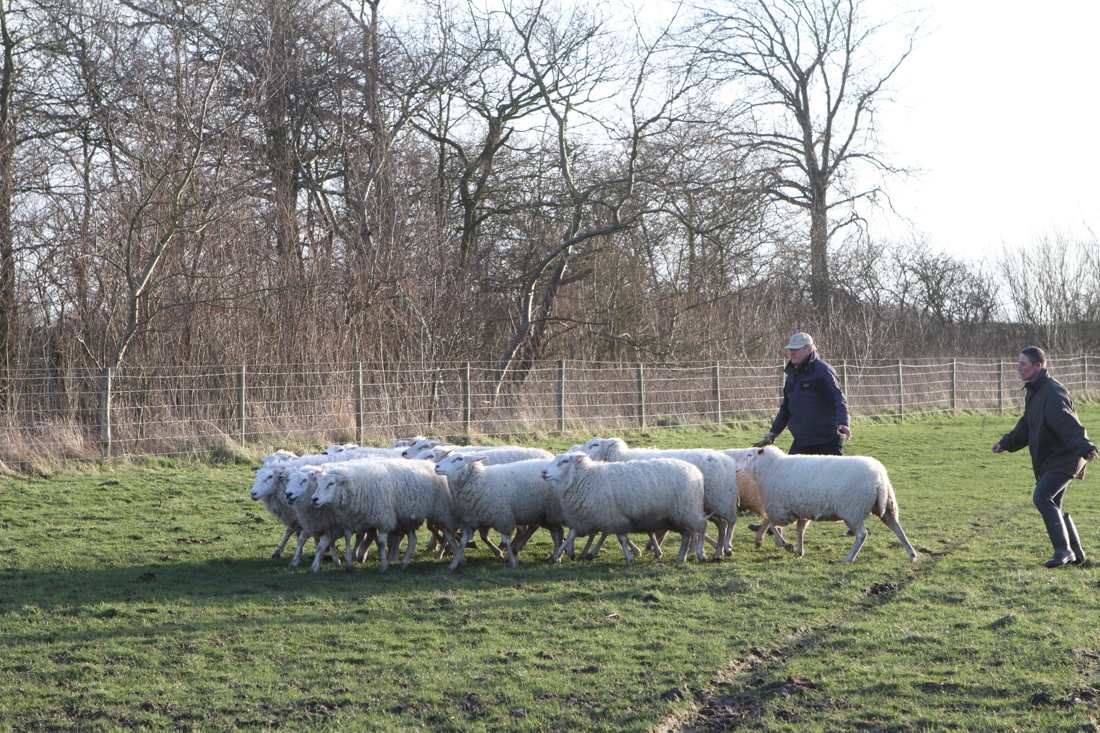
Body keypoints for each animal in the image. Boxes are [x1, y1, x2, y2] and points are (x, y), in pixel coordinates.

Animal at [310, 457, 455, 572]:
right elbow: (347, 538)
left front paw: (383, 566)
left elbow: (380, 543)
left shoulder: (384, 519)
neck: (358, 486)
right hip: (405, 517)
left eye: (331, 483)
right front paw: (349, 564)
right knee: (413, 540)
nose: (314, 499)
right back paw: (404, 563)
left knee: (447, 533)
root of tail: (430, 464)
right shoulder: (350, 519)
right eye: (318, 484)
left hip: (440, 511)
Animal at [431, 453, 563, 567]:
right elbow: (464, 543)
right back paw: (556, 556)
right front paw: (454, 563)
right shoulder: (471, 520)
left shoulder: (504, 518)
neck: (481, 482)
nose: (436, 466)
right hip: (545, 515)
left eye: (458, 459)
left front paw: (512, 561)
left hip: (551, 511)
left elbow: (506, 541)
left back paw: (556, 556)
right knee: (558, 532)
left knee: (556, 532)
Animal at [539, 451, 708, 563]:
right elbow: (572, 534)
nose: (543, 472)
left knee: (701, 527)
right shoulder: (587, 517)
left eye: (565, 461)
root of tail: (697, 472)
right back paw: (681, 557)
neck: (588, 478)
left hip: (687, 509)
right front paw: (557, 555)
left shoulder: (615, 517)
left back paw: (700, 554)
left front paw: (629, 558)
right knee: (686, 534)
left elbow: (621, 539)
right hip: (681, 513)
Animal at [576, 440, 739, 554]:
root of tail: (729, 461)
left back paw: (726, 546)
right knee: (721, 524)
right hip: (708, 503)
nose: (577, 451)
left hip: (720, 498)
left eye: (595, 444)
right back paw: (716, 550)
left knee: (731, 521)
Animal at [730, 444, 919, 559]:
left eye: (749, 455)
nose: (736, 467)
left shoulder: (780, 509)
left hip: (853, 509)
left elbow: (770, 523)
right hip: (887, 505)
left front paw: (784, 544)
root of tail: (879, 478)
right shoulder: (800, 509)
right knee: (896, 528)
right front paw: (799, 550)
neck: (770, 466)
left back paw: (849, 558)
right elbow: (799, 530)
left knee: (861, 534)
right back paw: (911, 554)